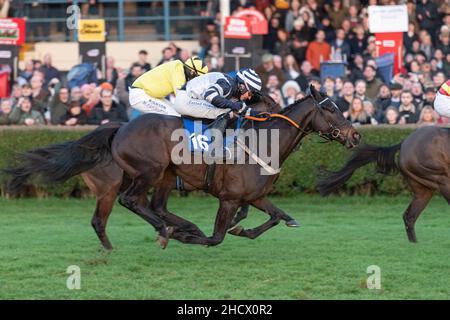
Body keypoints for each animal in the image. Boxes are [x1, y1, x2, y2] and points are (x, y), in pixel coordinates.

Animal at [5, 86, 360, 249]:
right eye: (331, 109)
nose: (356, 134)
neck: (262, 142)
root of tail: (119, 128)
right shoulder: (229, 198)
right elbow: (216, 237)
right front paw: (195, 235)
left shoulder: (255, 196)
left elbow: (278, 216)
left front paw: (244, 229)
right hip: (147, 171)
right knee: (132, 202)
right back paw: (168, 231)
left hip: (161, 175)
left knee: (147, 208)